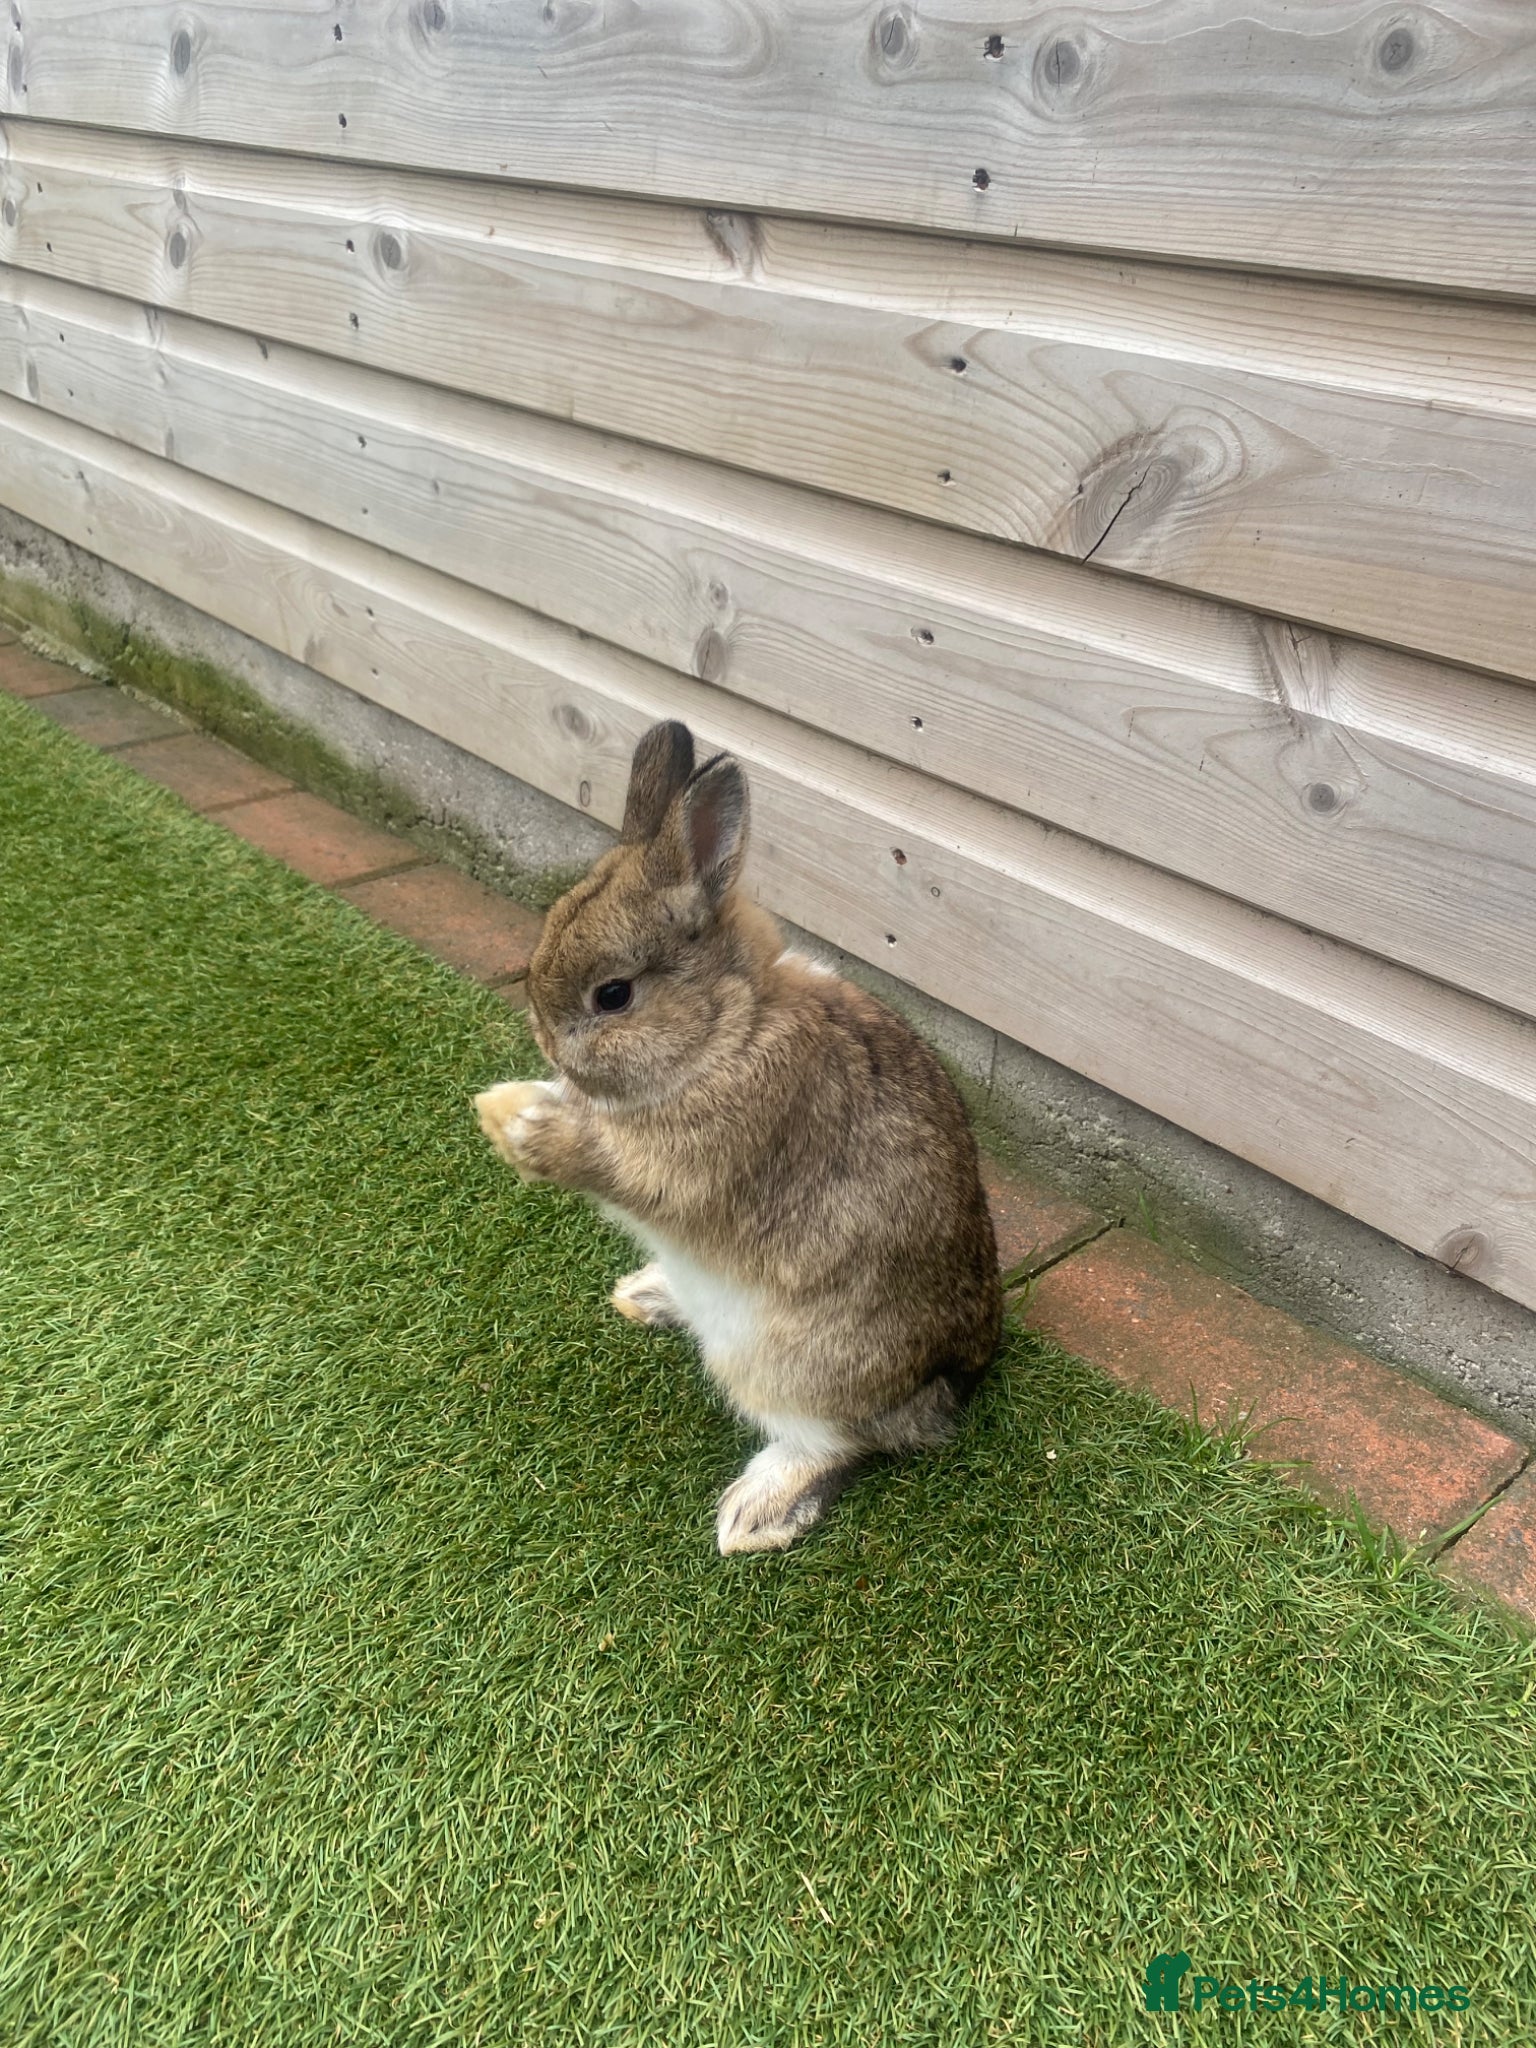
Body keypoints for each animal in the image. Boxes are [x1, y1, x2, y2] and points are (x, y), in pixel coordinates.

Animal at [475, 720, 1001, 1554]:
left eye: (613, 996)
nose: (550, 1047)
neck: (729, 1030)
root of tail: (946, 1387)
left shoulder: (691, 1162)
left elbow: (613, 1164)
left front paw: (522, 1122)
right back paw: (646, 1296)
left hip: (787, 1365)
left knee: (838, 1443)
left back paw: (758, 1512)